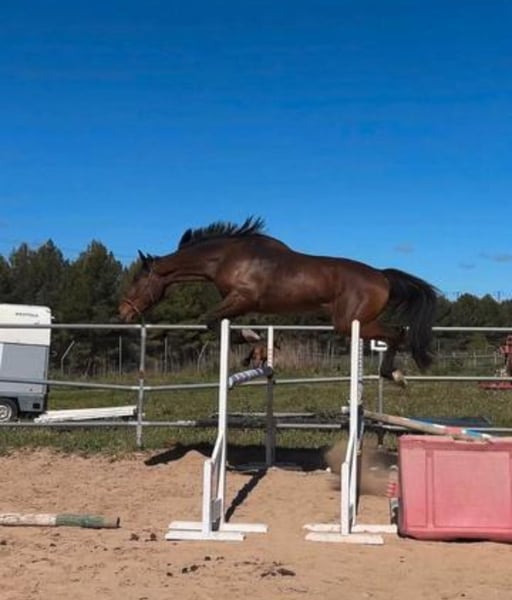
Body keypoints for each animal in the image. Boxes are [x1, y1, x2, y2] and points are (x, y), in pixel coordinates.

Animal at [119, 217, 439, 384]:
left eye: (137, 281)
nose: (123, 312)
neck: (226, 257)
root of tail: (382, 276)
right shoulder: (236, 303)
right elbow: (220, 324)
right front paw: (254, 350)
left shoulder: (243, 298)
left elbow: (210, 321)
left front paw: (253, 343)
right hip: (354, 323)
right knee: (397, 334)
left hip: (350, 323)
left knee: (397, 334)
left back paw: (394, 375)